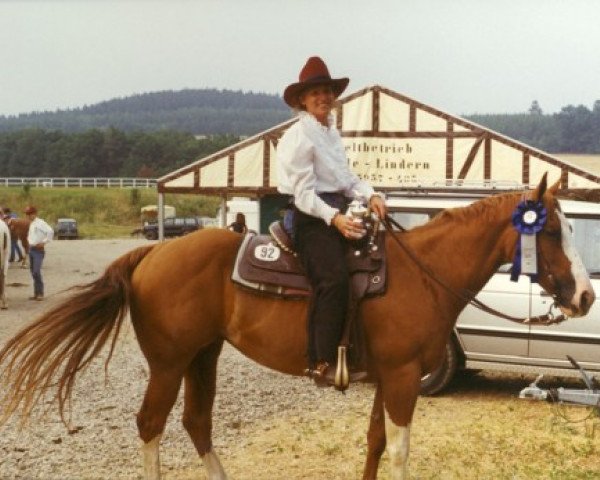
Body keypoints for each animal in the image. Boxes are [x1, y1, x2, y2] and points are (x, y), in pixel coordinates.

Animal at [0, 176, 592, 480]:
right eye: (551, 231)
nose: (585, 296)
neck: (424, 274)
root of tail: (150, 253)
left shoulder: (387, 379)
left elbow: (376, 444)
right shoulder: (402, 379)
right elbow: (399, 450)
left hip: (204, 355)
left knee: (196, 422)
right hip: (168, 362)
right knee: (151, 425)